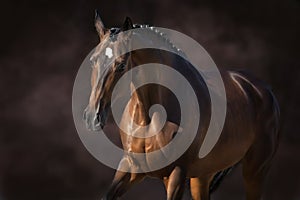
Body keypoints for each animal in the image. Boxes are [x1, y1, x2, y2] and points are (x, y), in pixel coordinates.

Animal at [82, 11, 278, 200]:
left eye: (122, 65)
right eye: (92, 60)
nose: (92, 117)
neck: (150, 115)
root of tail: (263, 89)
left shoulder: (176, 173)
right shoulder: (132, 167)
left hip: (255, 172)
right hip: (202, 176)